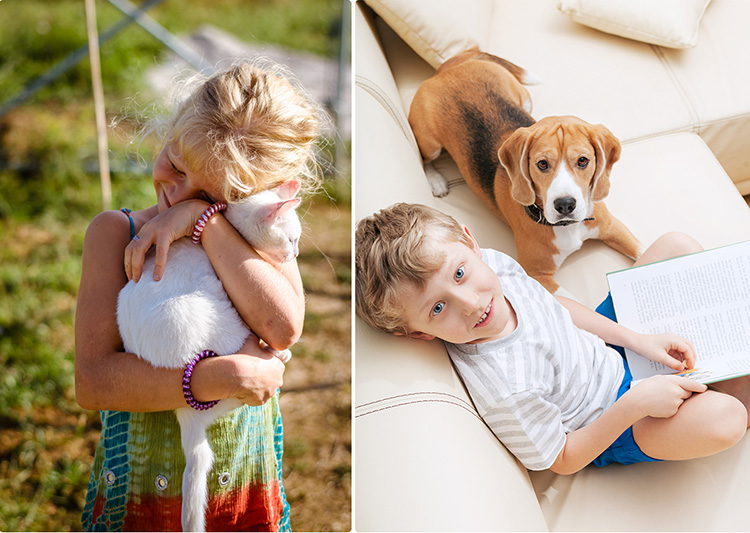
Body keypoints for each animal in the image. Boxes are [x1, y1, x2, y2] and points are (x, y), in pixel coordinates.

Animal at [408, 48, 644, 294]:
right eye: (542, 164)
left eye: (582, 161)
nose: (565, 205)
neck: (568, 227)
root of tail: (449, 69)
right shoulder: (537, 274)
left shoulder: (614, 228)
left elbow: (644, 251)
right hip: (430, 143)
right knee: (425, 158)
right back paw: (436, 180)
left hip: (525, 99)